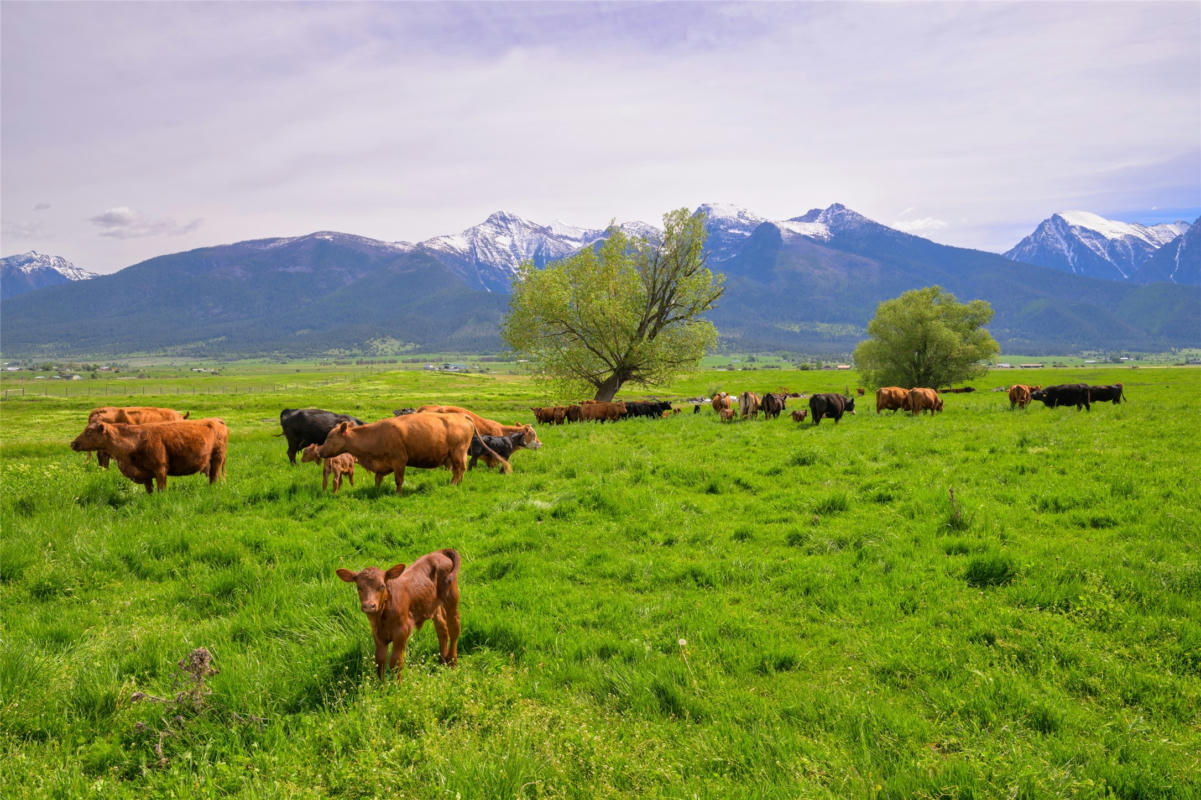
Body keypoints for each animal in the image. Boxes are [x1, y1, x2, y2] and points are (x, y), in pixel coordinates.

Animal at [70, 418, 226, 492]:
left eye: (89, 431)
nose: (73, 443)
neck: (136, 440)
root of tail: (216, 420)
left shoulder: (160, 470)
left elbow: (161, 489)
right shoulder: (145, 476)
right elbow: (150, 490)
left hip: (217, 459)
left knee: (214, 477)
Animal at [321, 410, 475, 492]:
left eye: (330, 437)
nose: (320, 451)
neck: (377, 435)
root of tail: (462, 416)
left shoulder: (399, 462)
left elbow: (399, 480)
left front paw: (398, 494)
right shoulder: (381, 465)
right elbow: (378, 479)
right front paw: (376, 491)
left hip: (458, 453)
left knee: (459, 470)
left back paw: (453, 484)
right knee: (459, 470)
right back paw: (458, 484)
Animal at [336, 547, 461, 677]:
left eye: (382, 586)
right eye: (358, 587)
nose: (369, 606)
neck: (381, 618)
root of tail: (438, 552)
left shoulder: (401, 632)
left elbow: (396, 663)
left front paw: (397, 683)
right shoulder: (378, 634)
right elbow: (380, 661)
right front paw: (382, 683)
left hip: (451, 597)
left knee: (454, 627)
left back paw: (452, 663)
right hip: (434, 604)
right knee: (442, 628)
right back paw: (443, 661)